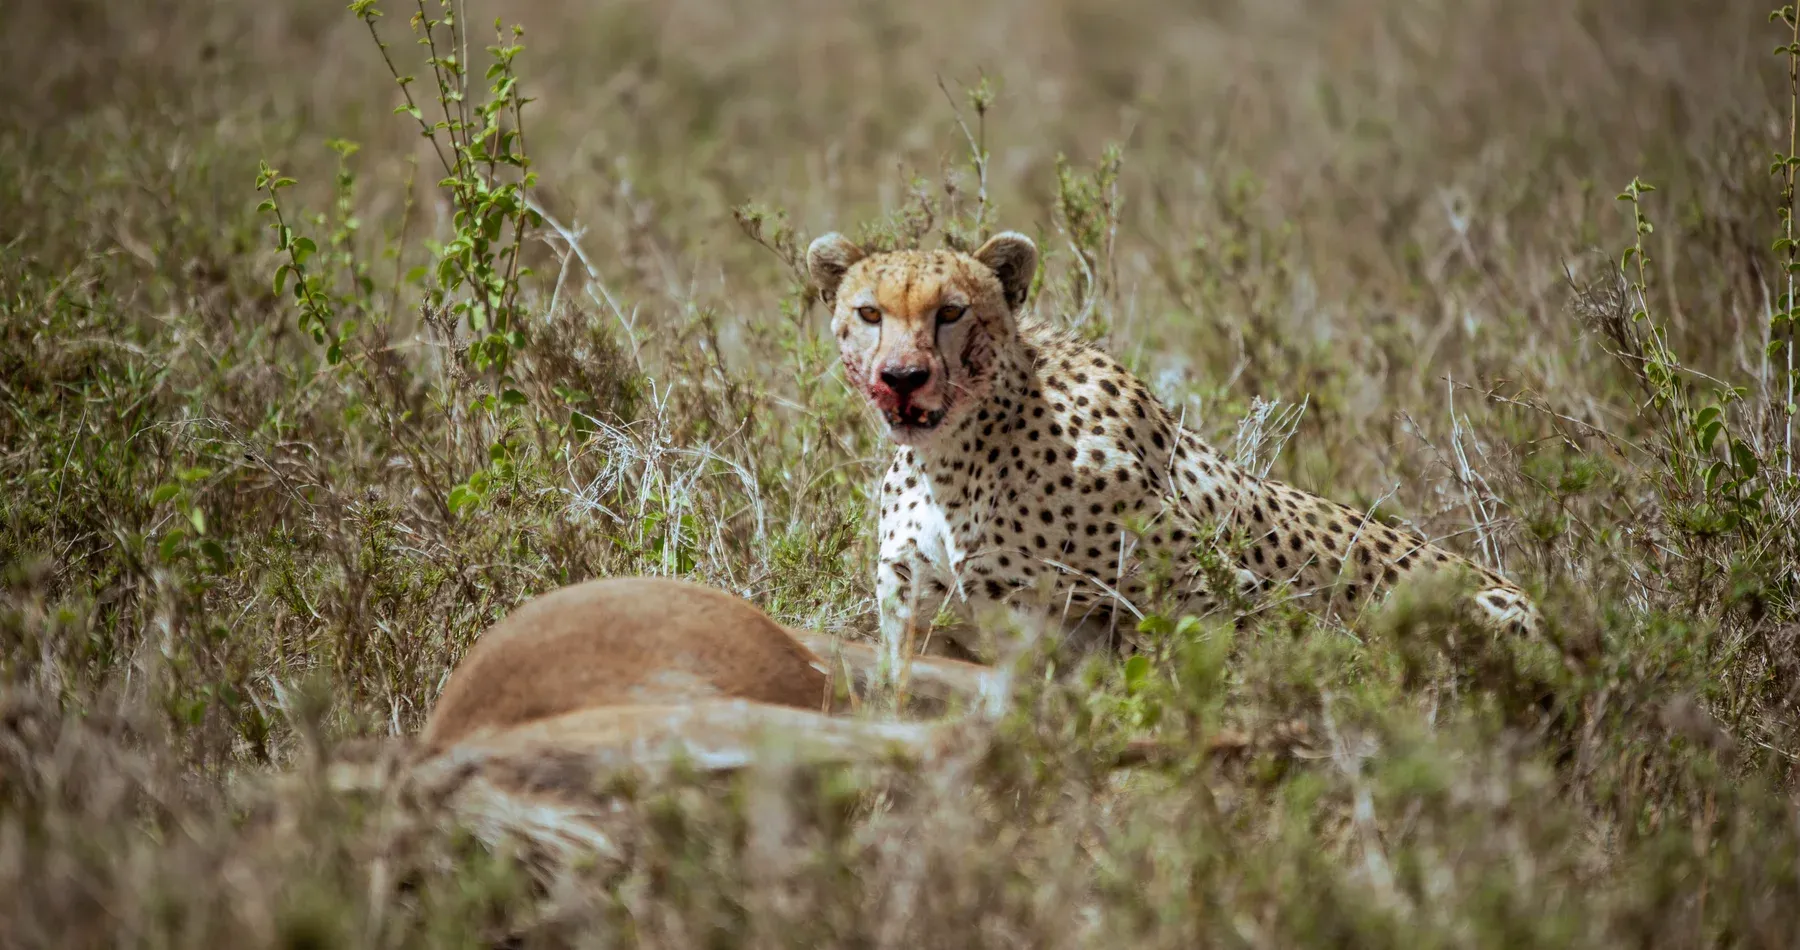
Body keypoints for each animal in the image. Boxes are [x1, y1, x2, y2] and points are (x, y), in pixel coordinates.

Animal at [805, 228, 1540, 677]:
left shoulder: (1210, 590)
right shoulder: (917, 617)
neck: (957, 458)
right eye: (870, 314)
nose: (902, 377)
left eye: (951, 313)